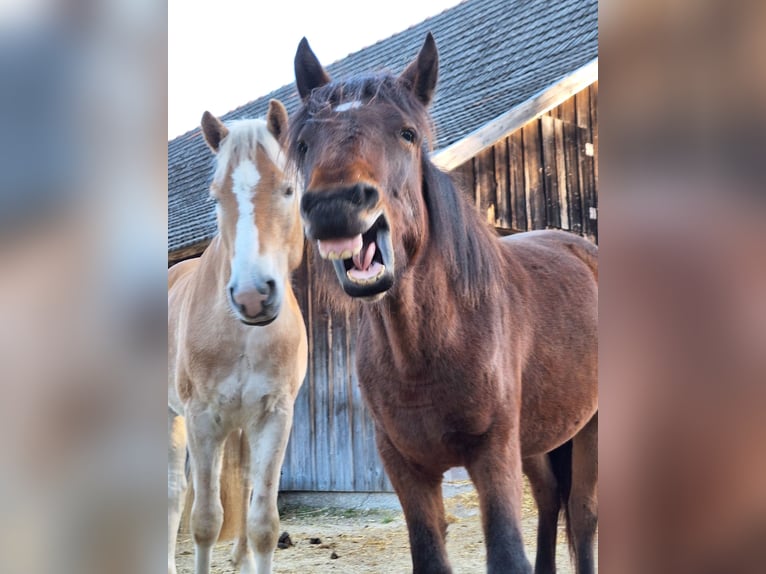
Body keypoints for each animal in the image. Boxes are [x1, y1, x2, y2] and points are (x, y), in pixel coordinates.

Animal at [170, 101, 308, 572]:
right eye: (215, 197)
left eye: (288, 189)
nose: (251, 297)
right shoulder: (201, 418)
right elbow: (205, 520)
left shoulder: (274, 417)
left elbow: (263, 522)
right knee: (174, 494)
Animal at [292, 36, 600, 574]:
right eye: (304, 143)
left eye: (407, 133)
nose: (335, 206)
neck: (426, 350)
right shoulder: (406, 468)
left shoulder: (493, 455)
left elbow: (507, 553)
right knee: (548, 500)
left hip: (590, 429)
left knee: (581, 515)